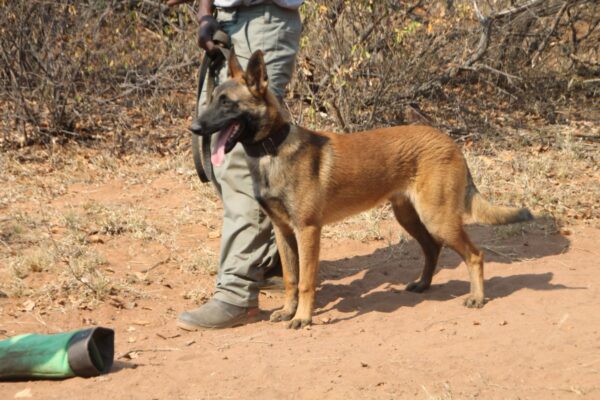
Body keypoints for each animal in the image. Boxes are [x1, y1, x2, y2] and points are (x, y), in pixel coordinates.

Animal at [198, 49, 536, 328]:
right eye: (213, 99)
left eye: (227, 103)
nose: (195, 127)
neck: (273, 150)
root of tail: (450, 141)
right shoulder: (283, 232)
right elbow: (292, 278)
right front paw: (287, 310)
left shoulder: (308, 231)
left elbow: (306, 280)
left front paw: (303, 317)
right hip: (410, 217)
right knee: (432, 249)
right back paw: (423, 284)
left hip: (438, 219)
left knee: (475, 255)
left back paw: (477, 297)